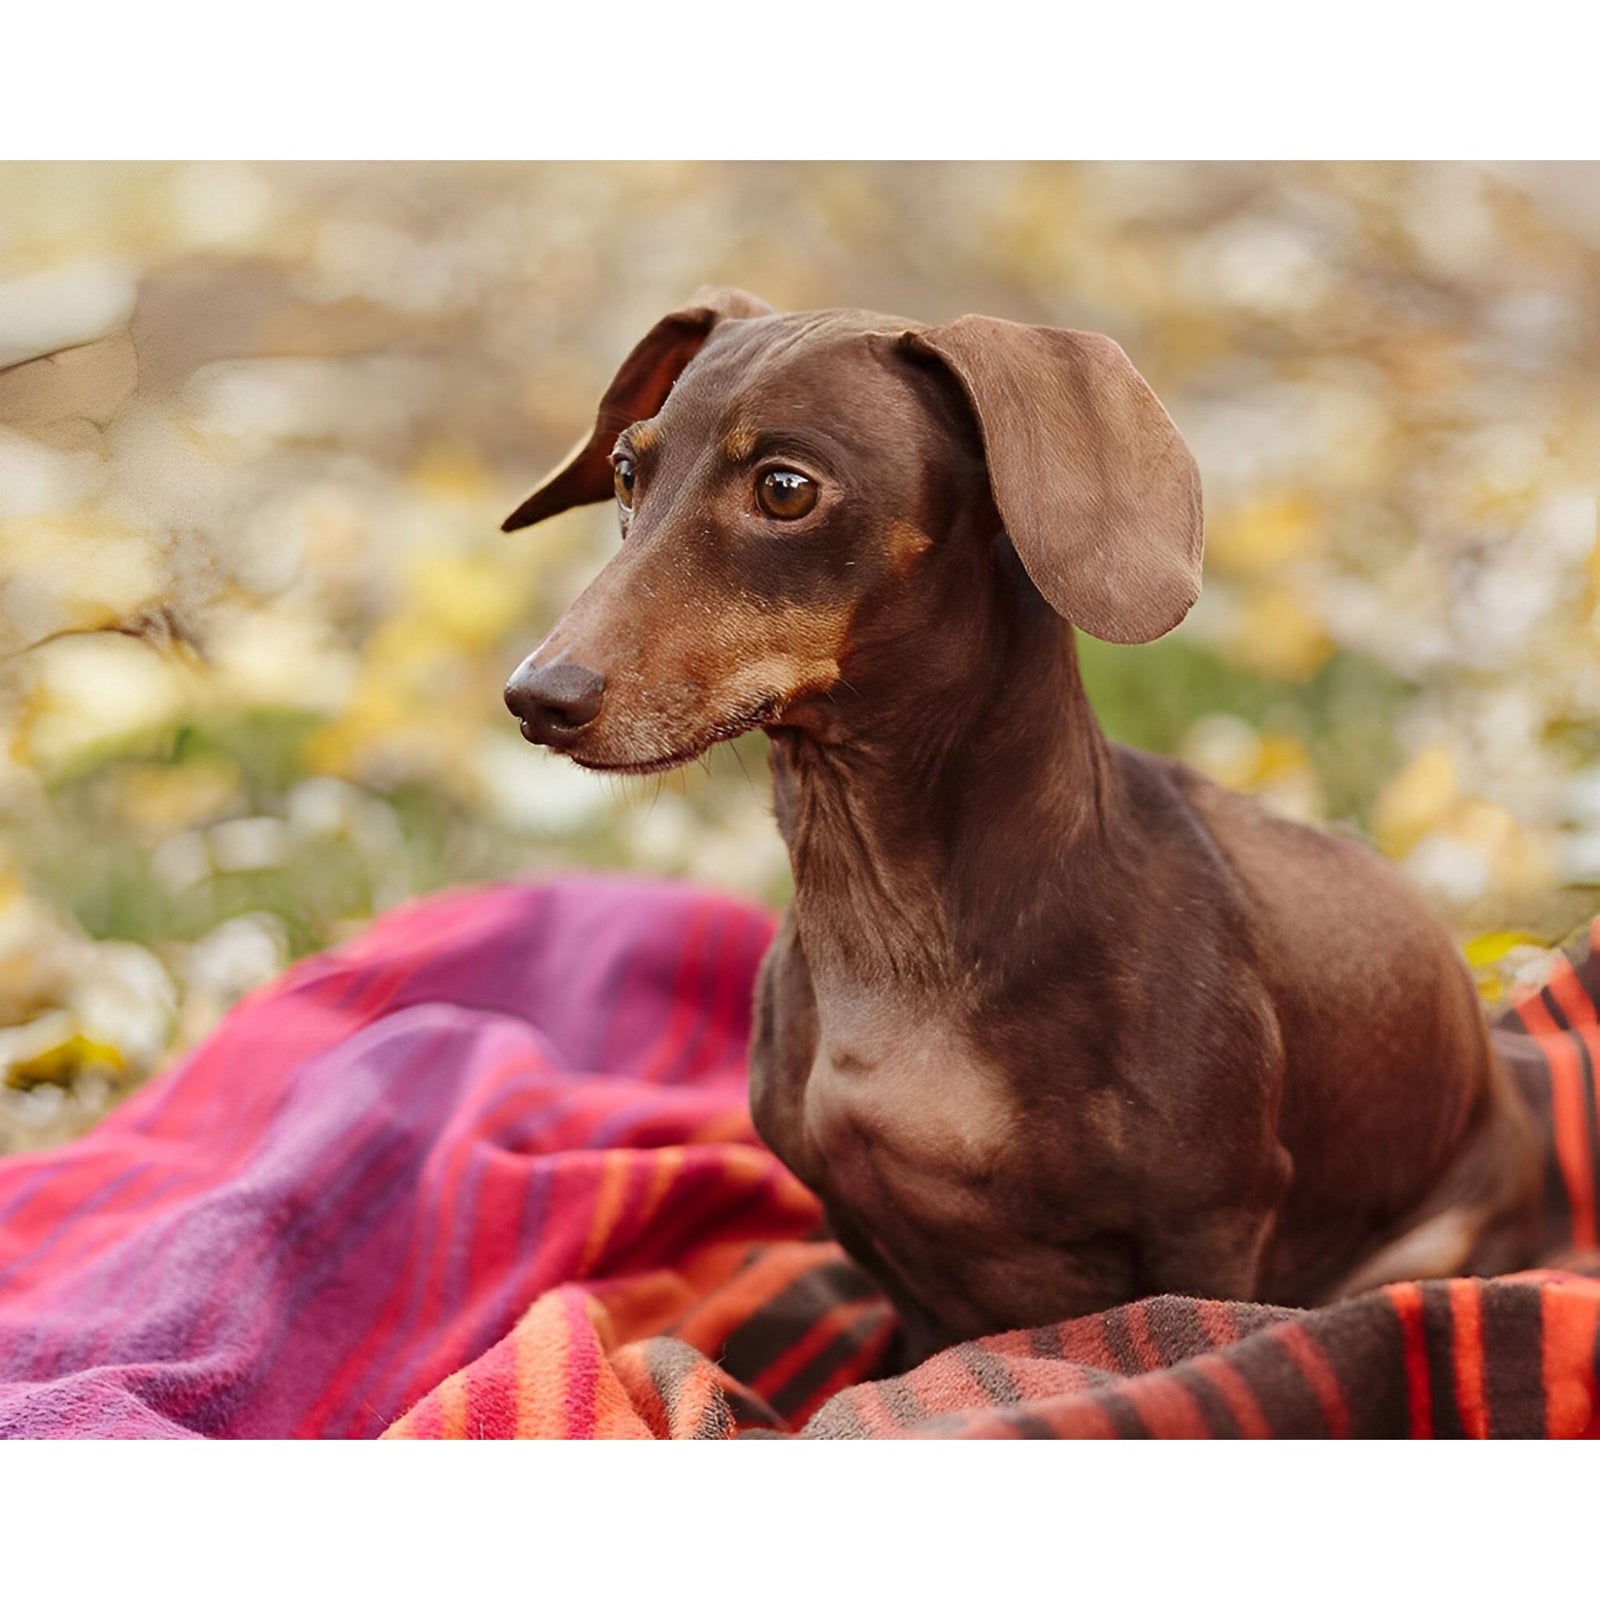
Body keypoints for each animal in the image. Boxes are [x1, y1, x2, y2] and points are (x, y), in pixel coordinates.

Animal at [502, 288, 1548, 1363]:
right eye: (627, 472)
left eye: (786, 489)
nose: (537, 698)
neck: (893, 926)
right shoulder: (880, 1252)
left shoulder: (1210, 1228)